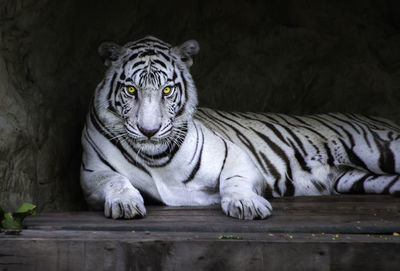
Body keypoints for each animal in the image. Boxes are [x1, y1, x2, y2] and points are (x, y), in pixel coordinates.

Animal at [80, 35, 400, 220]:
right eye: (131, 90)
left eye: (167, 90)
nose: (149, 130)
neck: (155, 155)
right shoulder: (92, 173)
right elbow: (115, 180)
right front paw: (124, 203)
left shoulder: (236, 155)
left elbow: (234, 180)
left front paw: (247, 205)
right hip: (360, 179)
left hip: (380, 149)